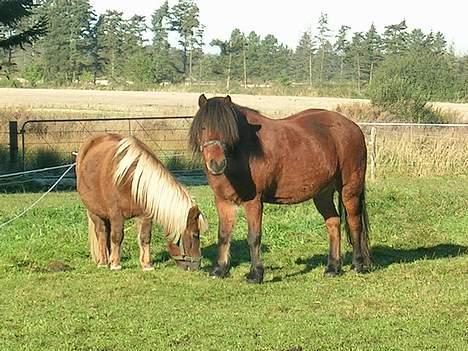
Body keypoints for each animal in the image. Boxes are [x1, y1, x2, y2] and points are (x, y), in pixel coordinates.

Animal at [76, 134, 207, 272]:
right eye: (195, 235)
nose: (197, 266)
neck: (129, 181)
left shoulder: (145, 215)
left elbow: (145, 237)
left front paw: (147, 265)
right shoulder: (116, 214)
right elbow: (117, 236)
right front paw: (116, 264)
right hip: (94, 212)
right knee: (101, 233)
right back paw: (103, 262)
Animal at [188, 95, 372, 284]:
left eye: (228, 130)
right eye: (203, 127)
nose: (216, 164)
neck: (245, 152)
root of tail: (354, 127)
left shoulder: (253, 202)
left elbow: (254, 237)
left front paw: (255, 274)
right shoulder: (223, 201)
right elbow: (224, 235)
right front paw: (220, 270)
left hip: (350, 189)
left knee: (354, 223)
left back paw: (358, 264)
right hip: (322, 194)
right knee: (334, 222)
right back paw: (333, 268)